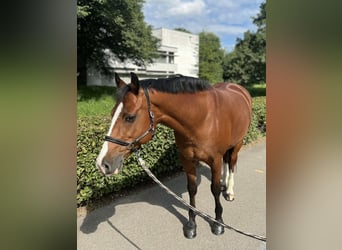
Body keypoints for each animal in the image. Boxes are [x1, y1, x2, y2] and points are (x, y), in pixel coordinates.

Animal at [95, 72, 251, 238]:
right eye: (112, 114)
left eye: (130, 117)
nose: (102, 164)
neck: (202, 118)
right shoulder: (187, 160)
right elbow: (192, 189)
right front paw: (191, 224)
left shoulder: (215, 160)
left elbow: (214, 190)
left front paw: (219, 222)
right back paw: (224, 185)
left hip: (237, 144)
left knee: (231, 164)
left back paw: (229, 192)